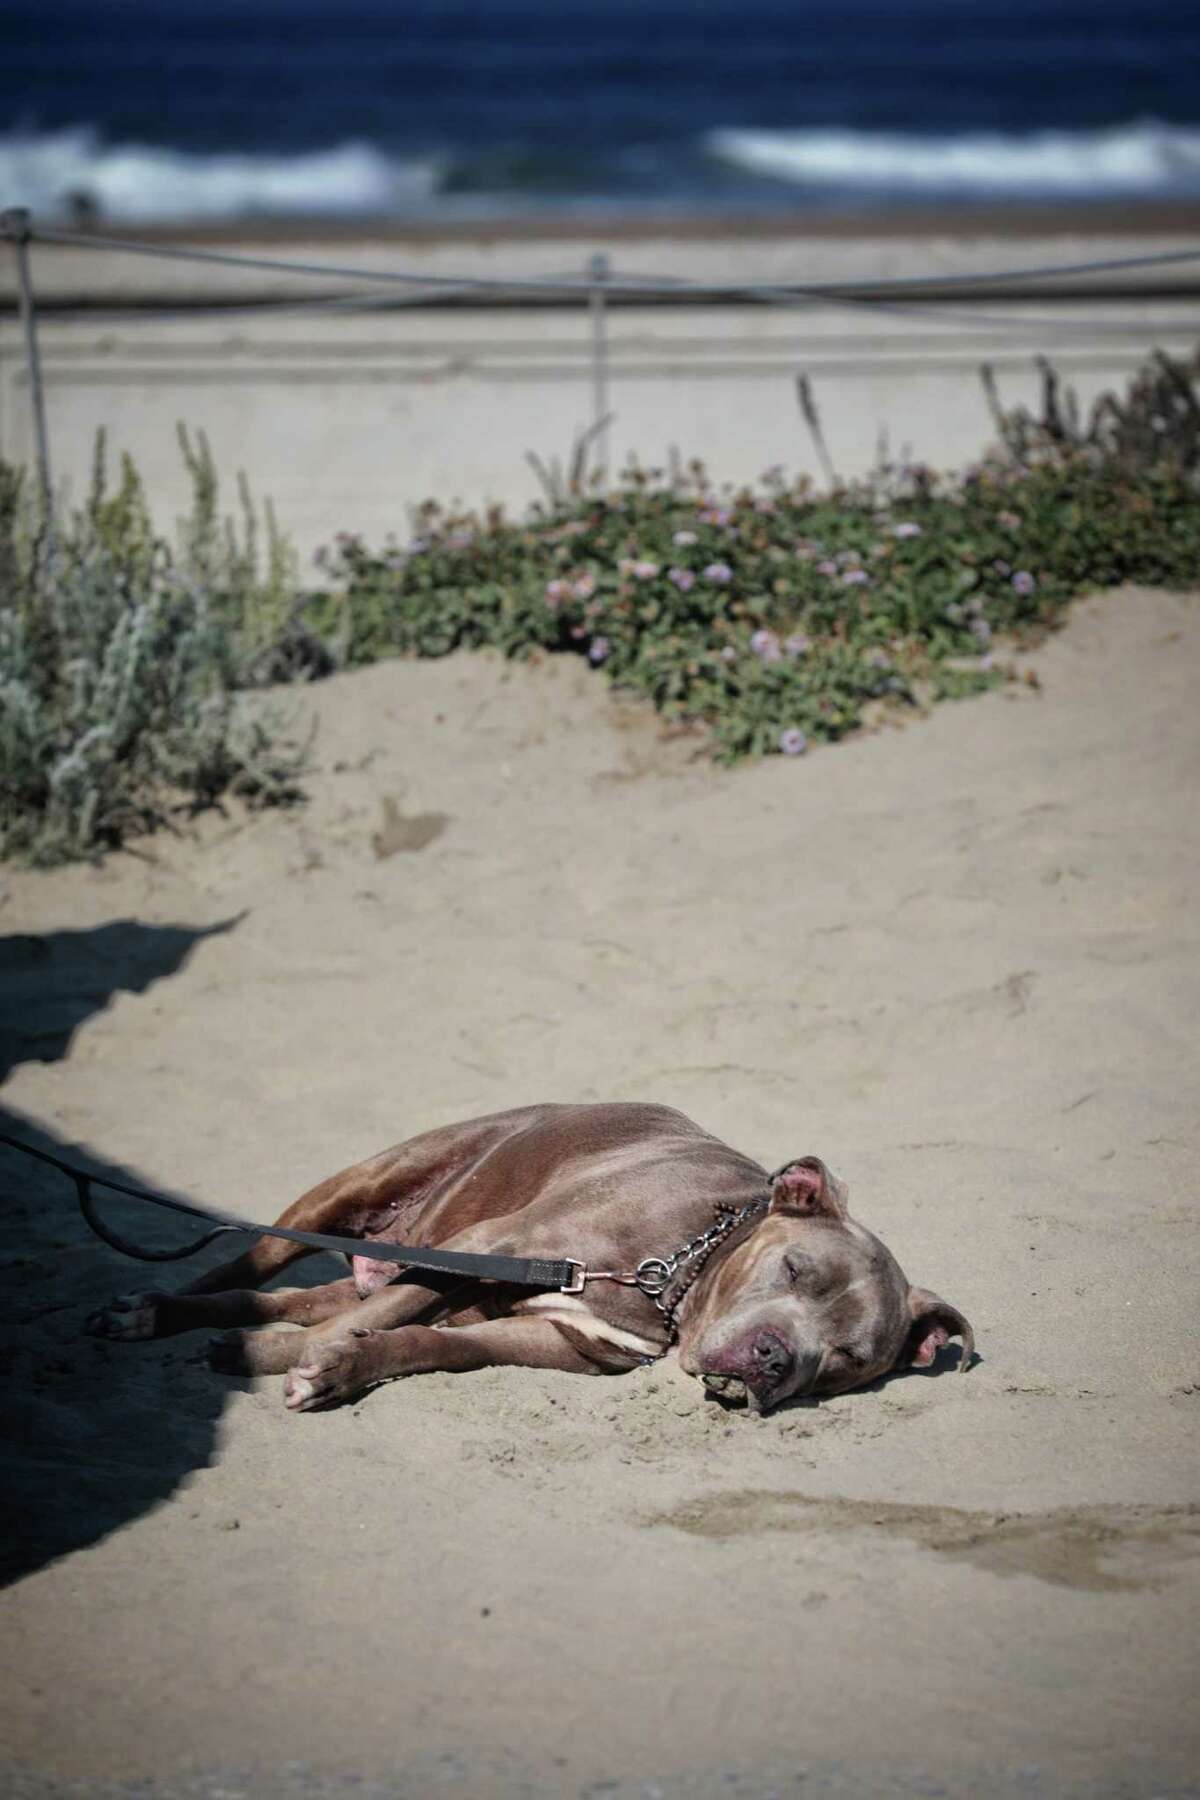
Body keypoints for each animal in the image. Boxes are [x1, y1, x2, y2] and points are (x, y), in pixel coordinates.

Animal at [91, 1094, 978, 1418]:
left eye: (846, 1363)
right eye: (794, 1271)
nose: (772, 1359)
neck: (675, 1276)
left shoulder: (560, 1341)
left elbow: (424, 1341)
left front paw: (333, 1368)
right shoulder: (499, 1246)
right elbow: (391, 1316)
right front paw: (301, 1363)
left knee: (284, 1301)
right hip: (353, 1192)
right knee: (246, 1264)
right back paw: (150, 1310)